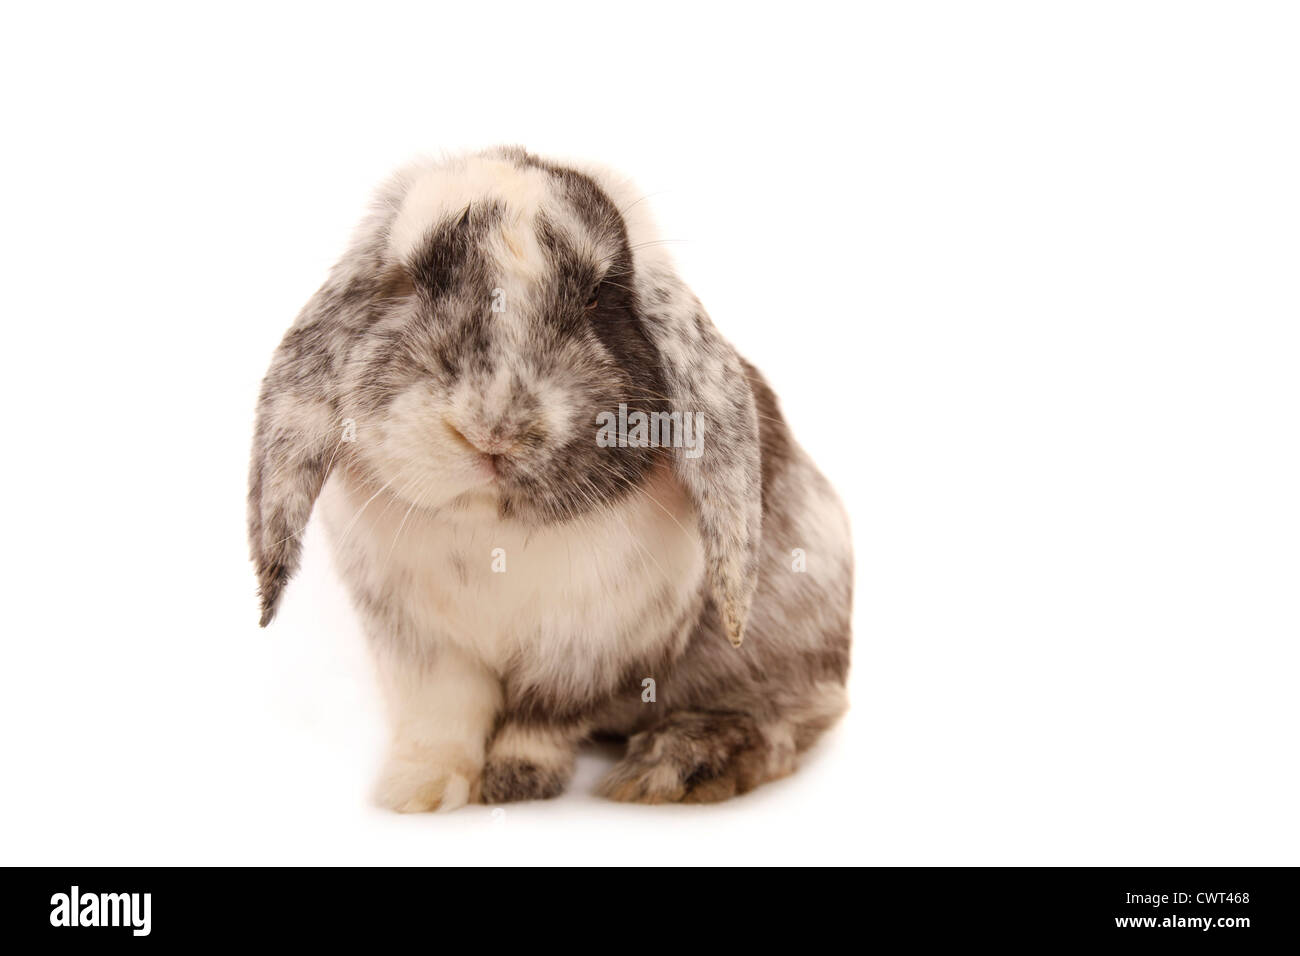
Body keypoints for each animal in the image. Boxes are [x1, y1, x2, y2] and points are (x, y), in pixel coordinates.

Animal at [247, 147, 853, 810]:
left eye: (597, 299)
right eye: (410, 283)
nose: (493, 430)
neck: (494, 536)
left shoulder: (588, 649)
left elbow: (541, 719)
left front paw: (515, 783)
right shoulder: (419, 648)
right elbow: (441, 720)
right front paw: (416, 793)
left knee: (793, 716)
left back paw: (673, 766)